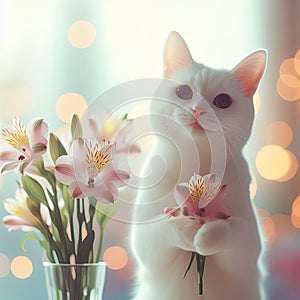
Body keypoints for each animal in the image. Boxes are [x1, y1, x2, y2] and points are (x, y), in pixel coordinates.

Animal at [130, 31, 266, 298]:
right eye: (183, 92)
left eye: (222, 101)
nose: (198, 110)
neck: (199, 168)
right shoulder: (145, 239)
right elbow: (165, 227)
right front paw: (187, 228)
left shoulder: (249, 244)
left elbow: (229, 231)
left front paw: (205, 234)